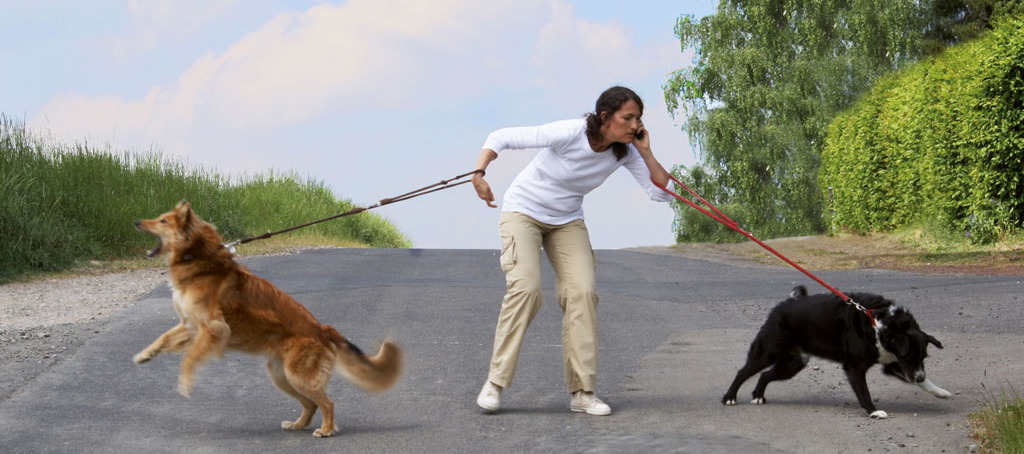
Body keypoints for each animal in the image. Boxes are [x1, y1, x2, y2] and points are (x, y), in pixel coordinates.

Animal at [135, 201, 403, 436]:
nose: (136, 221)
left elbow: (189, 359)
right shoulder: (191, 325)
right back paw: (297, 425)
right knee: (311, 404)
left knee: (327, 403)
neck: (200, 258)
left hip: (297, 375)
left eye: (163, 220)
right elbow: (163, 338)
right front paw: (144, 355)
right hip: (281, 375)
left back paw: (326, 430)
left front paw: (185, 384)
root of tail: (324, 329)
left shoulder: (214, 328)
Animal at [720, 286, 950, 422]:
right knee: (743, 372)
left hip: (793, 363)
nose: (918, 375)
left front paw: (940, 392)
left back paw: (758, 395)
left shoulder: (893, 362)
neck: (880, 322)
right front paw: (873, 411)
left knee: (765, 375)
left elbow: (923, 382)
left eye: (923, 357)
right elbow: (864, 393)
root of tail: (784, 305)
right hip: (767, 351)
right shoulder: (855, 367)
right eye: (910, 355)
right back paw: (730, 397)